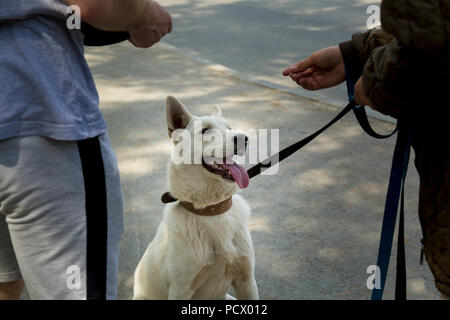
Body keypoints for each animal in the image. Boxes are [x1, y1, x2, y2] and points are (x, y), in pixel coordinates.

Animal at [133, 95, 260, 300]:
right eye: (206, 130)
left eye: (229, 128)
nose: (243, 138)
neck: (211, 209)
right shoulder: (180, 290)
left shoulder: (246, 281)